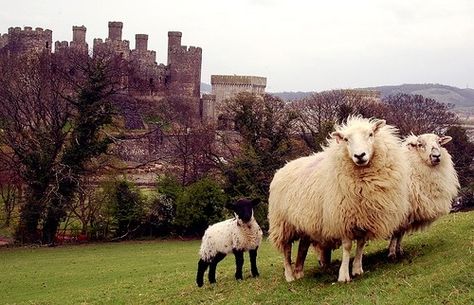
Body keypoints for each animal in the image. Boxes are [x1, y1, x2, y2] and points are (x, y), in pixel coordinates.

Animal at [268, 116, 410, 280]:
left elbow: (361, 244)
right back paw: (290, 276)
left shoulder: (364, 217)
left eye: (370, 134)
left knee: (303, 247)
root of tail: (282, 168)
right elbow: (347, 246)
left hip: (304, 223)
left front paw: (357, 269)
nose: (359, 156)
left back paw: (299, 272)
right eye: (346, 139)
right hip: (282, 223)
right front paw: (343, 275)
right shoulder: (342, 217)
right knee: (286, 250)